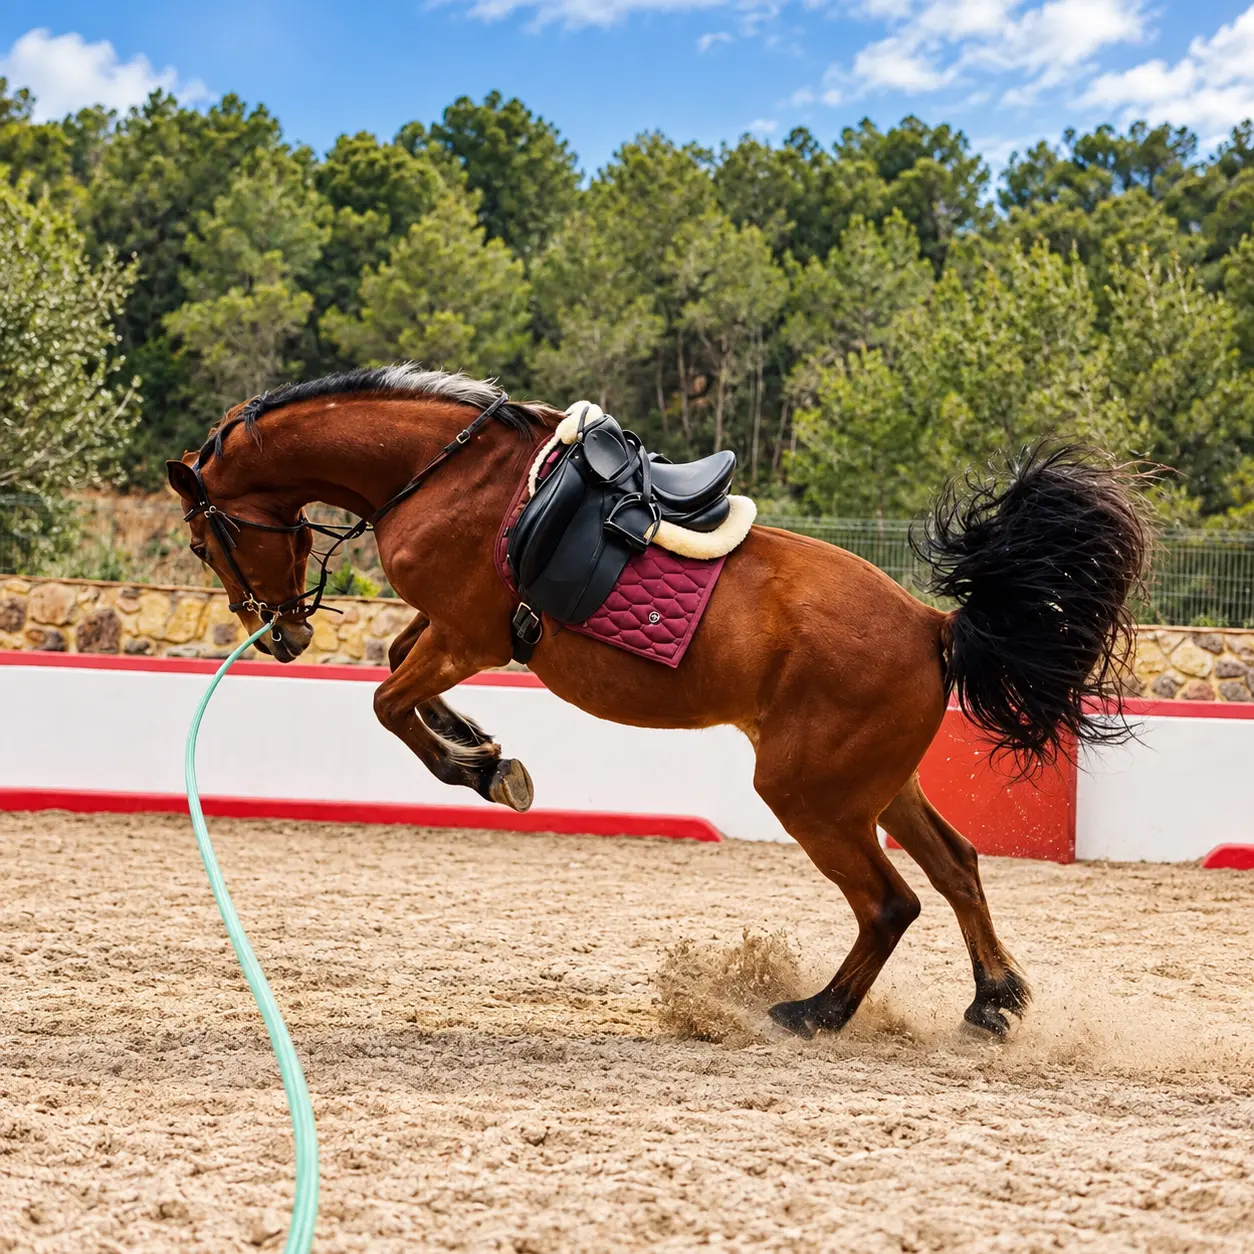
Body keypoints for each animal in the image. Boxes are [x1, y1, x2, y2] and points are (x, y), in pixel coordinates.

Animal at [167, 365, 1149, 1041]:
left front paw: (482, 768)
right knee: (956, 869)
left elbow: (387, 701)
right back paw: (993, 1002)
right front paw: (482, 744)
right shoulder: (449, 631)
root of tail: (934, 626)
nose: (281, 636)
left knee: (890, 903)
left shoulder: (470, 636)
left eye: (204, 541)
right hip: (877, 786)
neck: (440, 473)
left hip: (813, 795)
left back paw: (814, 1014)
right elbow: (403, 678)